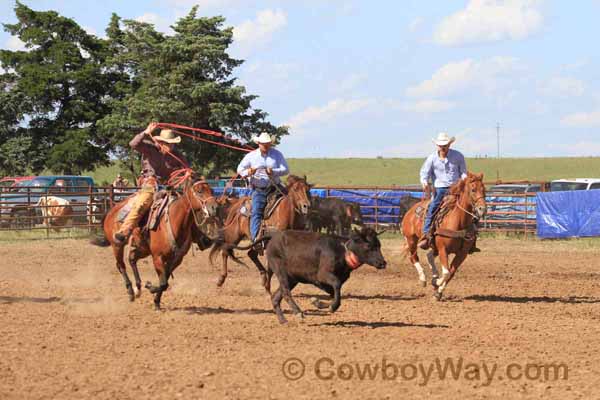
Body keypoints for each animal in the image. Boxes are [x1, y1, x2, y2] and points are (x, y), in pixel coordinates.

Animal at [91, 177, 218, 310]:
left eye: (212, 190)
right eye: (199, 191)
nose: (214, 207)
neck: (174, 220)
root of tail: (111, 211)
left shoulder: (176, 259)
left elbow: (165, 280)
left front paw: (156, 300)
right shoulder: (157, 257)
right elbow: (163, 282)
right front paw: (150, 288)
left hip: (143, 248)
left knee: (132, 259)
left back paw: (138, 288)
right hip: (117, 245)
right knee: (121, 266)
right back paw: (131, 291)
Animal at [398, 172, 488, 300]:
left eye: (484, 189)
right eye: (473, 189)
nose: (482, 209)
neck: (459, 222)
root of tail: (411, 210)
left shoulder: (462, 253)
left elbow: (451, 273)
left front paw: (438, 291)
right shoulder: (443, 249)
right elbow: (446, 272)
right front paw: (437, 283)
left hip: (432, 245)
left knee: (429, 255)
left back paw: (434, 276)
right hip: (411, 240)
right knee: (413, 257)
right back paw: (423, 279)